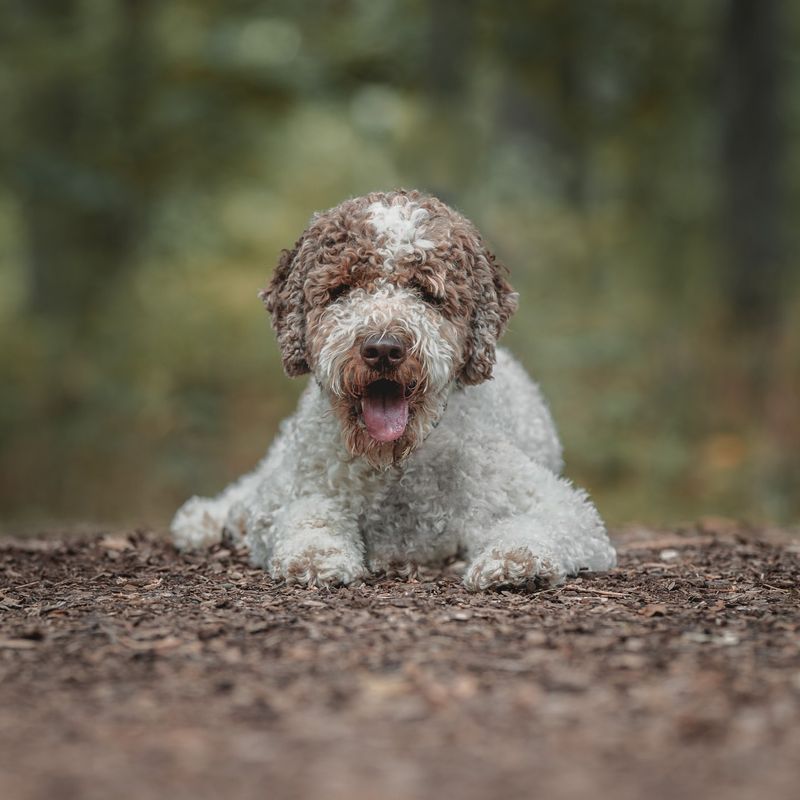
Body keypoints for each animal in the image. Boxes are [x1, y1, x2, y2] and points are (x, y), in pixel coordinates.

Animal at [172, 188, 616, 588]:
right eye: (342, 290)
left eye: (427, 292)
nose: (383, 349)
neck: (395, 463)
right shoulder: (293, 490)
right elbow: (305, 512)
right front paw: (317, 556)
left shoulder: (550, 501)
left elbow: (547, 521)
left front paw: (515, 560)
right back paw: (206, 519)